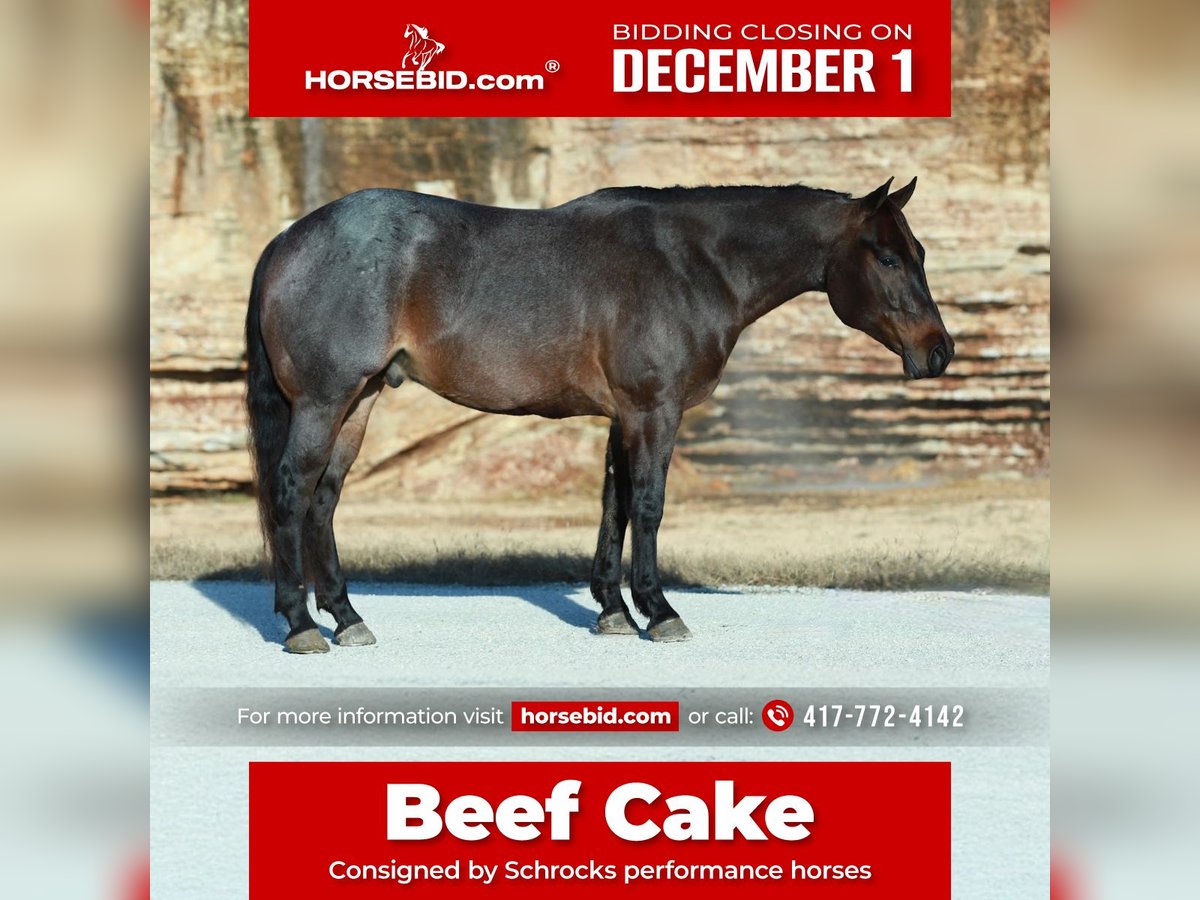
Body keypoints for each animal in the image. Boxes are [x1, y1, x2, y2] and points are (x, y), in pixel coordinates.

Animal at [244, 177, 954, 653]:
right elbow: (648, 505)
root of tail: (287, 239)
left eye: (918, 253)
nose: (939, 352)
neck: (691, 264)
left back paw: (346, 617)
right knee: (291, 490)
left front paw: (613, 610)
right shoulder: (654, 410)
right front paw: (659, 611)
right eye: (888, 257)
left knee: (323, 499)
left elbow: (615, 504)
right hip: (326, 399)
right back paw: (302, 624)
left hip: (357, 400)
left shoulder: (624, 416)